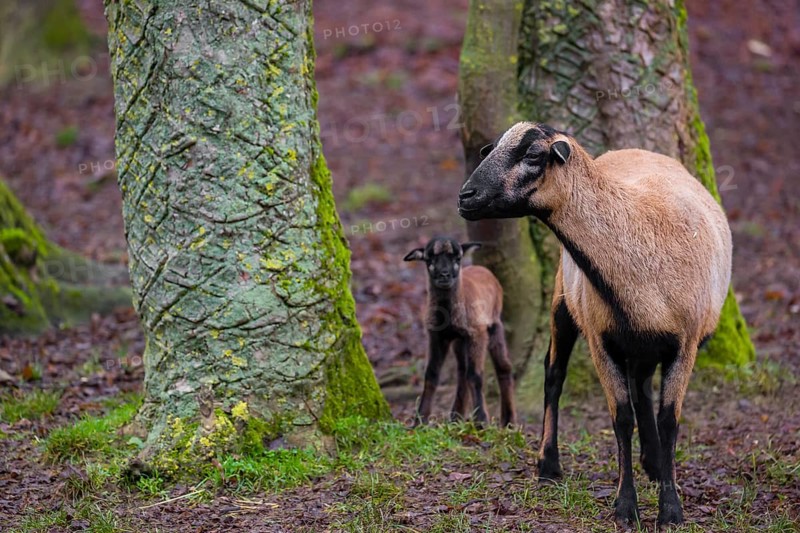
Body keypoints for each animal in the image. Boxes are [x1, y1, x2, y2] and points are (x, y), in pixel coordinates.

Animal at [404, 237, 517, 428]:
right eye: (429, 258)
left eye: (457, 258)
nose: (444, 275)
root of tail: (483, 269)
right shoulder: (436, 335)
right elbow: (432, 374)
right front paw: (420, 420)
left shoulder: (477, 333)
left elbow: (475, 375)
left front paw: (482, 421)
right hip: (459, 341)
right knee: (462, 372)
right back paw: (455, 417)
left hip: (494, 325)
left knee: (503, 367)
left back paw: (508, 421)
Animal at [457, 122, 732, 526]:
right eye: (489, 150)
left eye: (533, 155)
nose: (465, 195)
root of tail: (633, 150)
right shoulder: (602, 342)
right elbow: (621, 418)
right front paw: (625, 507)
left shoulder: (686, 342)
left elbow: (668, 420)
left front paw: (670, 509)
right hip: (563, 301)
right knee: (554, 375)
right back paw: (548, 465)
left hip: (638, 339)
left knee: (641, 386)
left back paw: (653, 463)